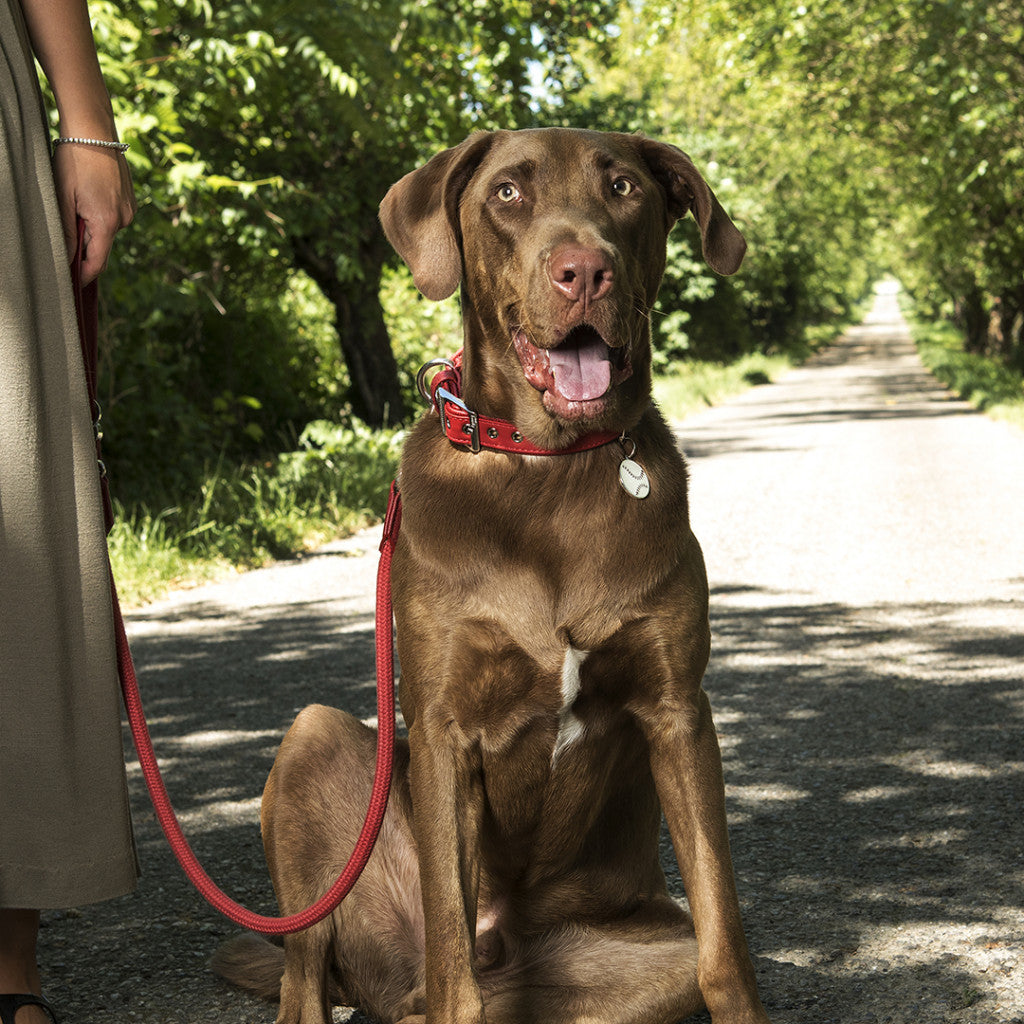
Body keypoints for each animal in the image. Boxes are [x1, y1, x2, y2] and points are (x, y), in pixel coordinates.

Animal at [214, 130, 770, 1024]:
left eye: (623, 187)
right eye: (508, 194)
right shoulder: (445, 730)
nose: (584, 270)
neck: (546, 465)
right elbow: (454, 965)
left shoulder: (679, 714)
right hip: (315, 746)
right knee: (320, 974)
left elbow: (724, 945)